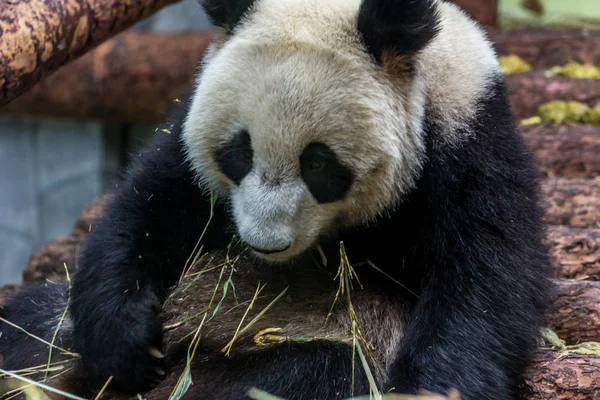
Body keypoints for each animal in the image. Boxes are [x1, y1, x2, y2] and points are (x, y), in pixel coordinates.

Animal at [1, 0, 552, 398]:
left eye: (319, 164)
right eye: (238, 151)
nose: (264, 243)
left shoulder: (467, 136)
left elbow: (482, 281)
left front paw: (431, 388)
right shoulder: (186, 141)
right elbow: (146, 211)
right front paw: (126, 345)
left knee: (322, 373)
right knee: (29, 322)